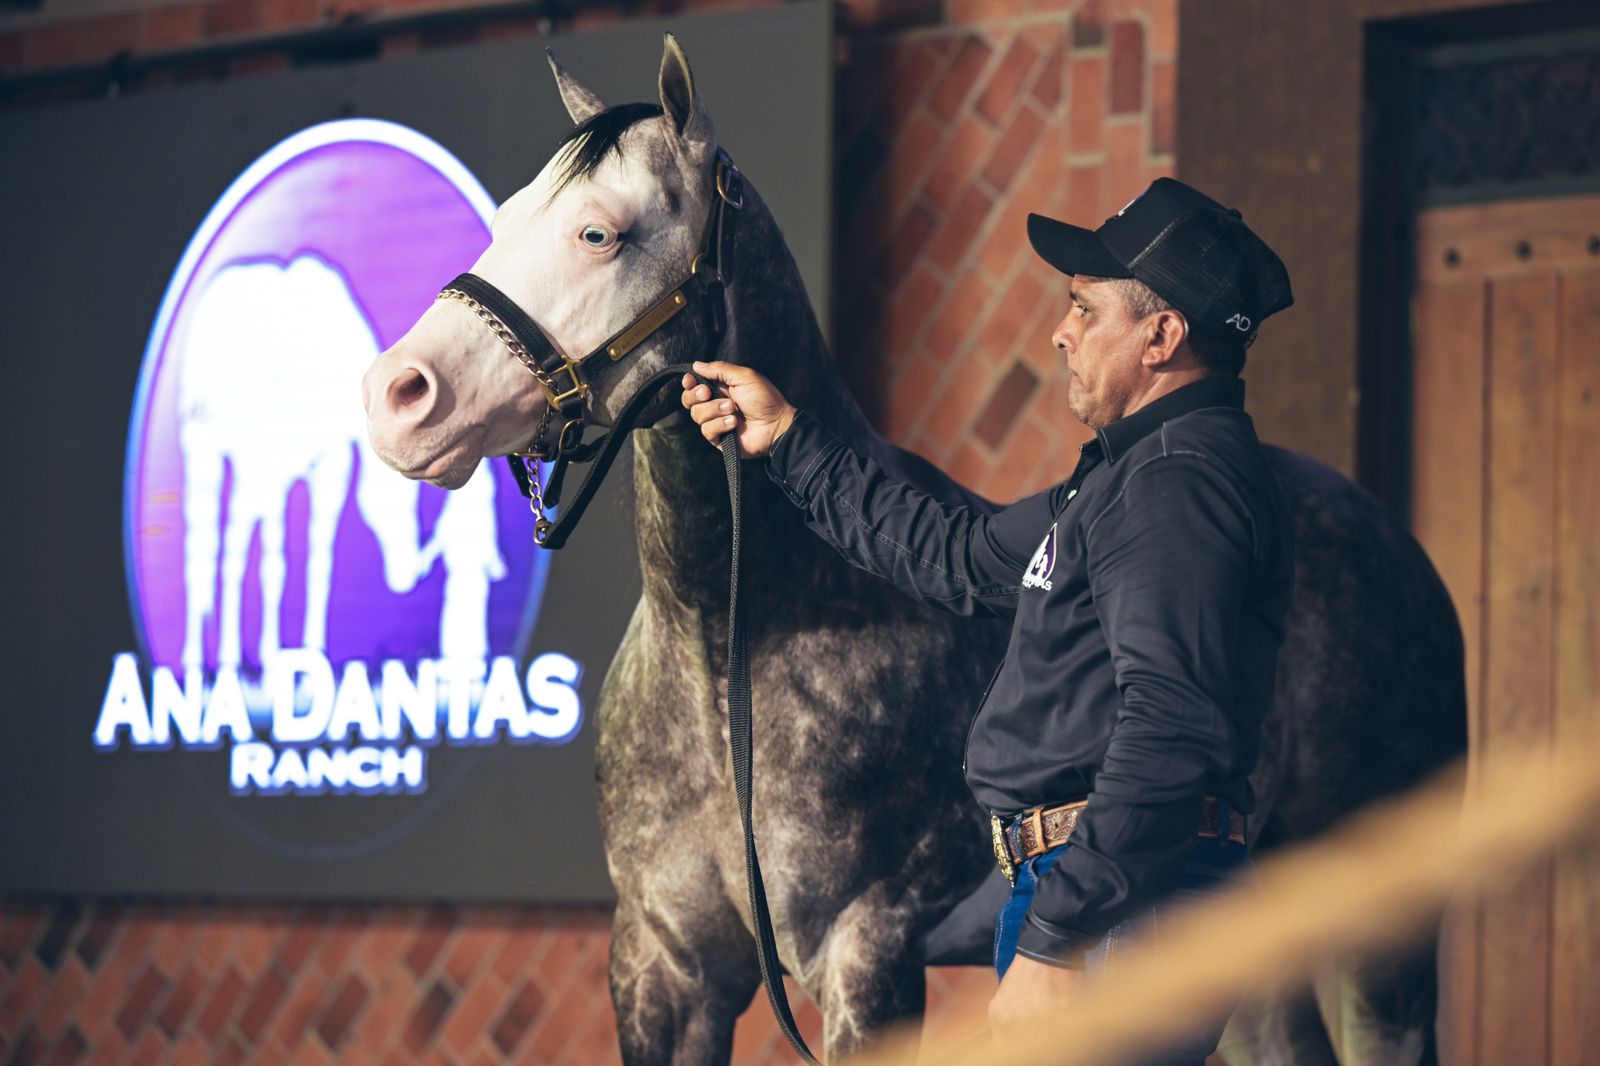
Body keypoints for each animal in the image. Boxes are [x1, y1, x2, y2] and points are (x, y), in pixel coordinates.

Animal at [363, 37, 1465, 1056]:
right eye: (508, 215)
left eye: (601, 231)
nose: (399, 396)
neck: (739, 650)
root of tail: (1400, 558)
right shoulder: (662, 968)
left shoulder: (867, 954)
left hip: (1378, 941)